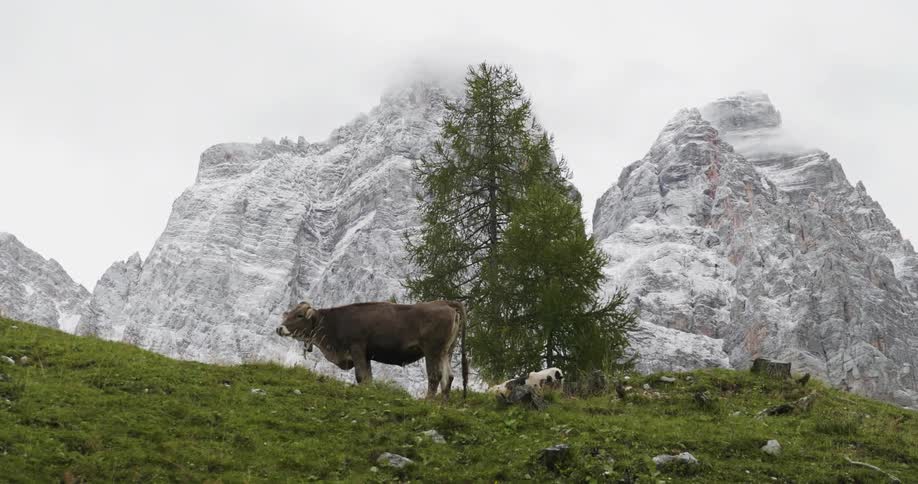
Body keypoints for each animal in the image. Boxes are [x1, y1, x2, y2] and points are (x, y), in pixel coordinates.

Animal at [276, 300, 468, 399]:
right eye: (289, 313)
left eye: (299, 315)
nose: (279, 328)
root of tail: (446, 304)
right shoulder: (367, 354)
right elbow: (367, 378)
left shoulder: (357, 348)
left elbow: (361, 376)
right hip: (446, 352)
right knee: (448, 378)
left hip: (432, 351)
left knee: (435, 377)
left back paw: (428, 402)